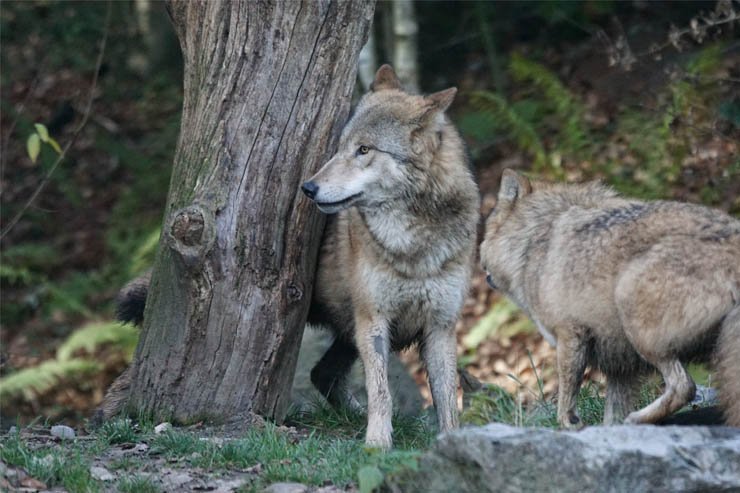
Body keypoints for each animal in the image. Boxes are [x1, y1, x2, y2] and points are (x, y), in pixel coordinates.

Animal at [102, 66, 480, 449]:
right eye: (340, 148)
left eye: (364, 150)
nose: (309, 188)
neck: (415, 243)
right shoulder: (373, 320)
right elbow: (382, 391)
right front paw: (377, 446)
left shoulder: (440, 326)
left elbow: (447, 399)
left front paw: (452, 443)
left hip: (349, 336)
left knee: (321, 373)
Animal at [479, 169, 740, 429]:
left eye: (486, 230)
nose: (481, 266)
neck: (535, 237)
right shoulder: (620, 368)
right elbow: (610, 417)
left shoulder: (570, 335)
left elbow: (565, 403)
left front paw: (570, 425)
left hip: (633, 312)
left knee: (684, 387)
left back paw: (635, 419)